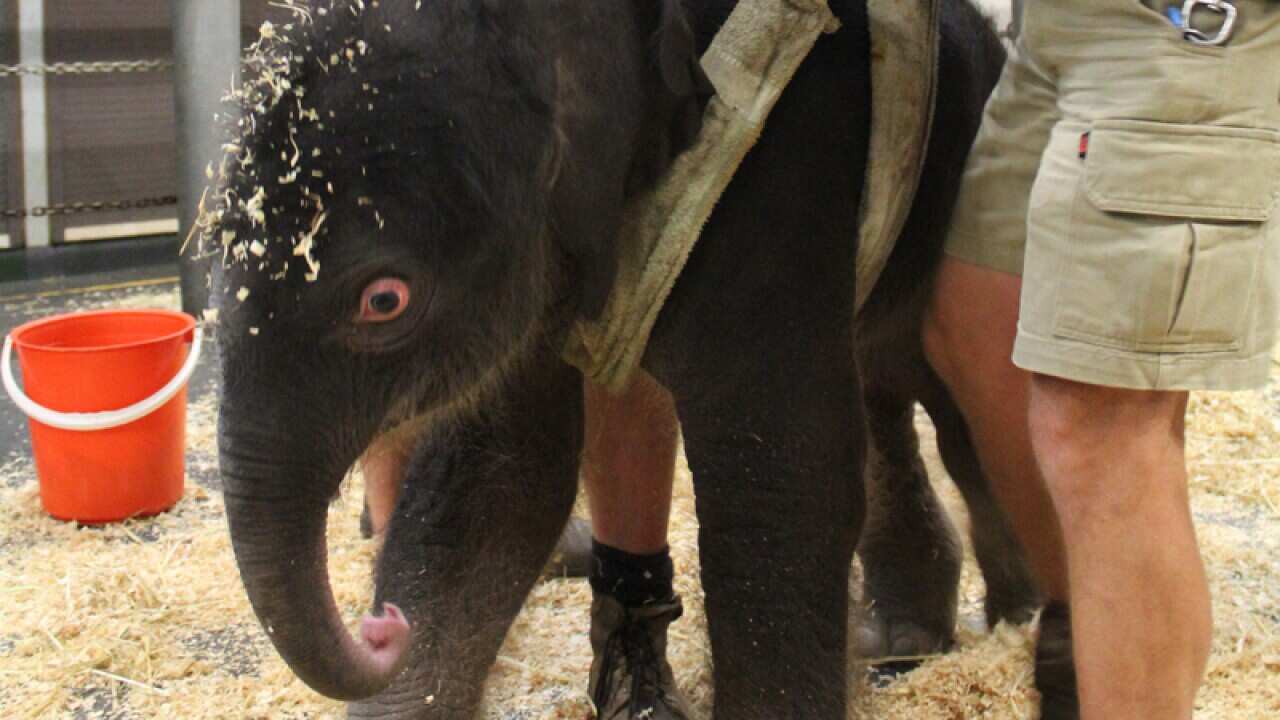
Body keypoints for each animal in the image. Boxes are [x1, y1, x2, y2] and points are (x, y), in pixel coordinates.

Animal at [207, 0, 1052, 718]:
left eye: (383, 300)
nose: (382, 625)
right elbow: (497, 474)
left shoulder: (783, 163)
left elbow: (778, 472)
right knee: (883, 394)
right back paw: (903, 638)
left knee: (960, 402)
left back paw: (1015, 613)